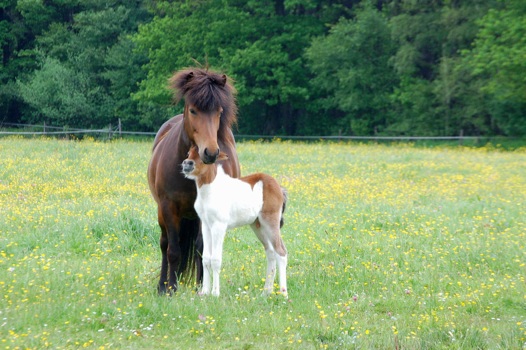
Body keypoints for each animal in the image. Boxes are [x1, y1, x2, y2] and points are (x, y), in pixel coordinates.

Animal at [147, 67, 240, 294]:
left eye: (219, 112)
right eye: (193, 110)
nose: (211, 152)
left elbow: (201, 249)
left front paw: (201, 287)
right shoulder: (168, 207)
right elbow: (173, 250)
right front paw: (170, 288)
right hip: (162, 212)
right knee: (164, 244)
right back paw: (162, 285)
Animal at [182, 146, 288, 296]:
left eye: (203, 155)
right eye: (188, 153)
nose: (187, 164)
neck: (210, 191)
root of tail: (279, 187)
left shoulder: (219, 226)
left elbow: (215, 259)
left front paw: (215, 293)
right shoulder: (206, 226)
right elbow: (206, 258)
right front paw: (205, 292)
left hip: (270, 222)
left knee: (281, 252)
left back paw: (283, 293)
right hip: (258, 226)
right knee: (271, 252)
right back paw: (266, 293)